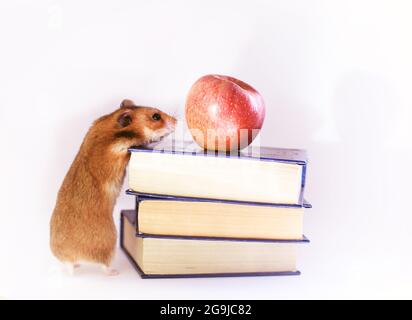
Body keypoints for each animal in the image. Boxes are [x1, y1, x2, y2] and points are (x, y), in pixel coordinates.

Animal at [49, 99, 175, 276]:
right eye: (156, 116)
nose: (177, 121)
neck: (113, 130)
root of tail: (71, 256)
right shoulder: (120, 153)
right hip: (110, 243)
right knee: (103, 265)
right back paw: (114, 272)